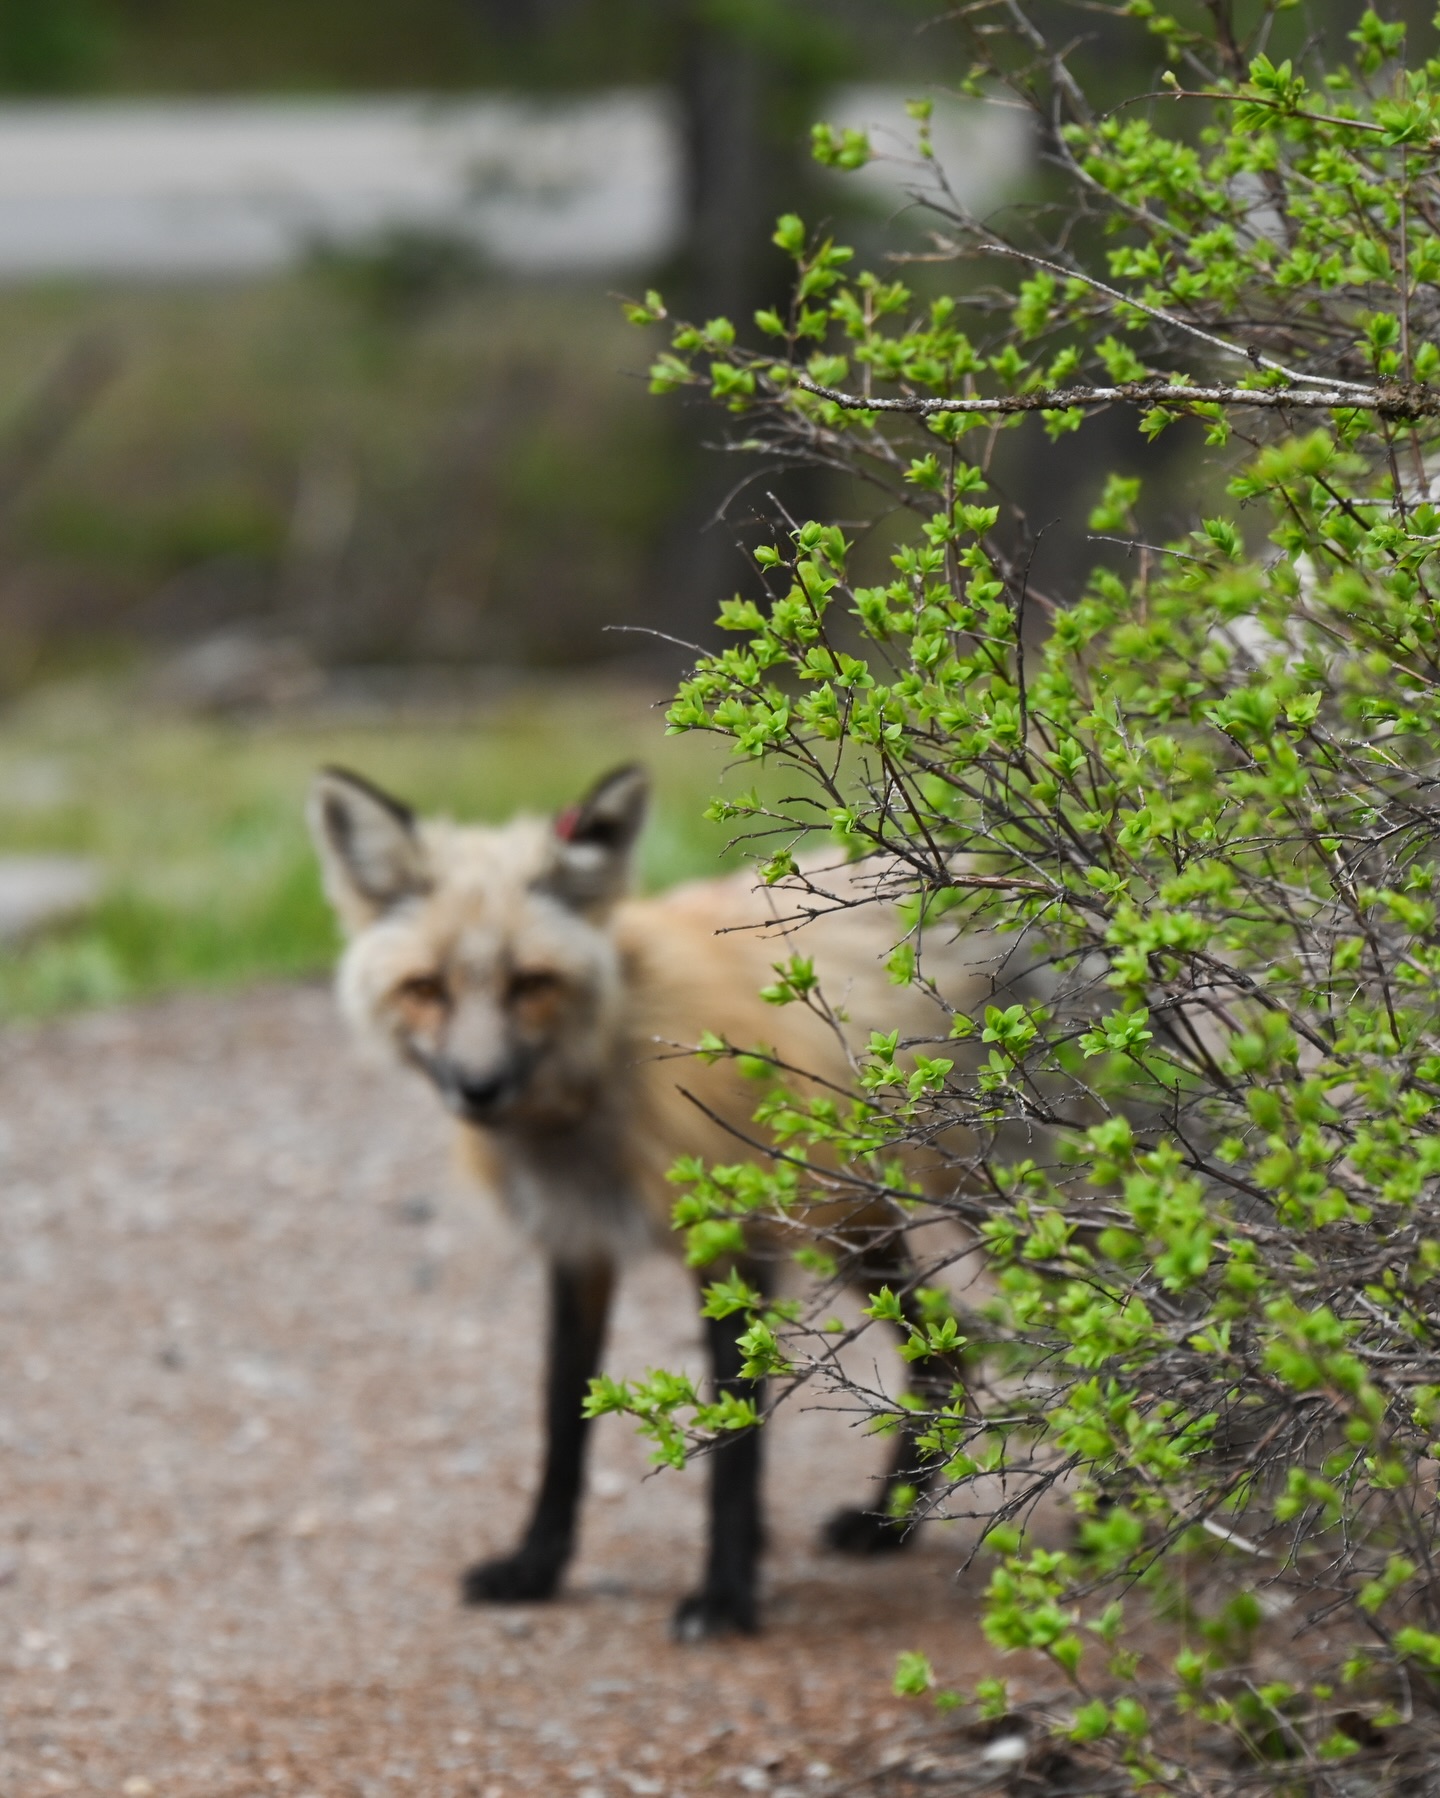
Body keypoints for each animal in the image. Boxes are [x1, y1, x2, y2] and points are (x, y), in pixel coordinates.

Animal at [309, 765, 1006, 1639]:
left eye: (530, 983)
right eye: (426, 989)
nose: (478, 1088)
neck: (602, 1082)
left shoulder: (732, 1245)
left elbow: (735, 1440)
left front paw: (725, 1597)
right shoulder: (577, 1248)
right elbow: (560, 1420)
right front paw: (537, 1568)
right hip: (855, 1222)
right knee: (950, 1356)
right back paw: (889, 1523)